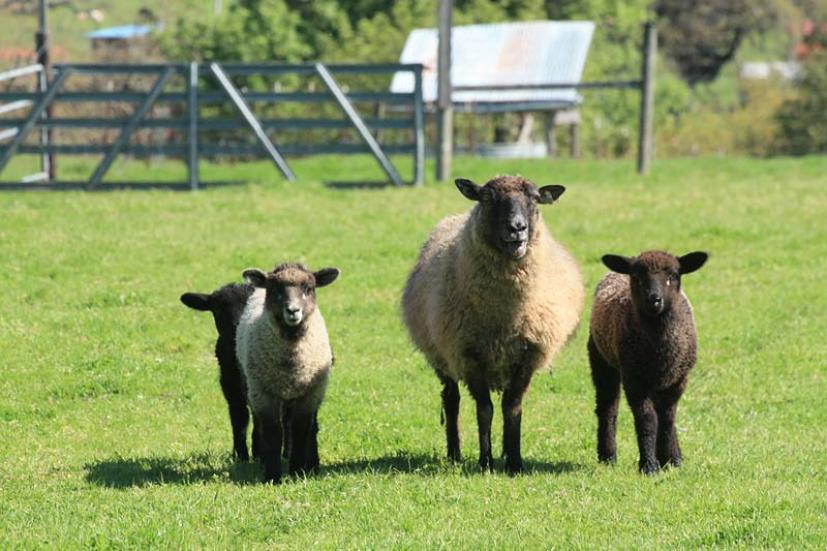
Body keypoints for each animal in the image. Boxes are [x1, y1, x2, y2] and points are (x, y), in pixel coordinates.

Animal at [180, 284, 260, 462]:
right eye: (217, 309)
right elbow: (239, 419)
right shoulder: (230, 387)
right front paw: (241, 456)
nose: (237, 326)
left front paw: (259, 453)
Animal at [238, 264, 342, 484]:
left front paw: (297, 472)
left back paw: (311, 464)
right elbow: (272, 431)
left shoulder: (310, 394)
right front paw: (273, 476)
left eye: (309, 288)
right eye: (274, 289)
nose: (293, 310)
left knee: (309, 427)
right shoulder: (263, 393)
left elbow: (300, 429)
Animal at [402, 176, 584, 474]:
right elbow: (484, 408)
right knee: (451, 399)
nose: (517, 228)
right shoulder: (469, 355)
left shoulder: (528, 355)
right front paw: (485, 462)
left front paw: (514, 462)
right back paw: (455, 454)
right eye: (487, 198)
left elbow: (512, 407)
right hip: (441, 356)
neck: (505, 317)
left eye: (535, 199)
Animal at [588, 250, 712, 474]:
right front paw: (649, 465)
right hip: (602, 359)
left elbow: (668, 418)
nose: (654, 300)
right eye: (637, 277)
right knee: (608, 408)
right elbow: (647, 419)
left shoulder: (679, 379)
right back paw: (608, 456)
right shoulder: (634, 378)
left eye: (674, 275)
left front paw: (672, 460)